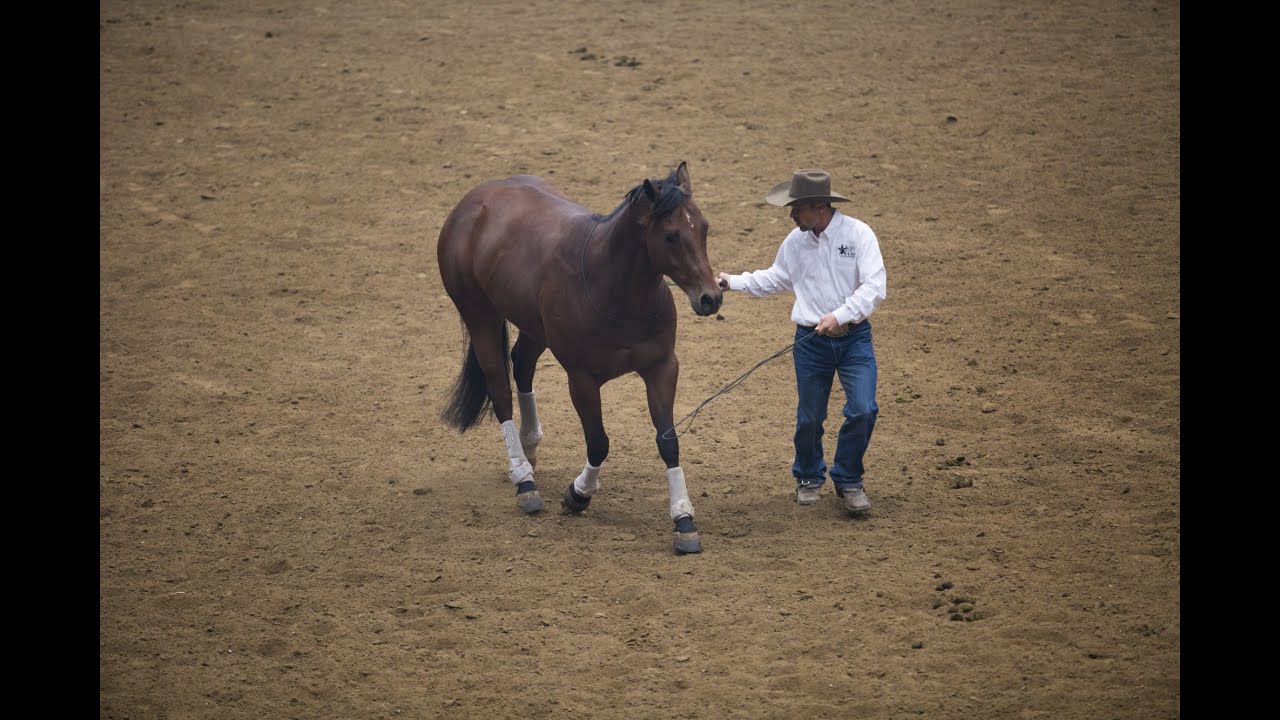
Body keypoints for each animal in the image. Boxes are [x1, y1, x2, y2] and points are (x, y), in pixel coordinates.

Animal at [436, 161, 723, 554]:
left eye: (704, 227)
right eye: (670, 236)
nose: (711, 297)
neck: (614, 289)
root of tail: (471, 203)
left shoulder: (662, 368)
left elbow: (668, 442)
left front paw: (684, 520)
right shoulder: (582, 379)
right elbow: (598, 442)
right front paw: (578, 495)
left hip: (533, 328)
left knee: (522, 366)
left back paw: (529, 445)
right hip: (479, 316)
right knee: (501, 389)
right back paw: (524, 479)